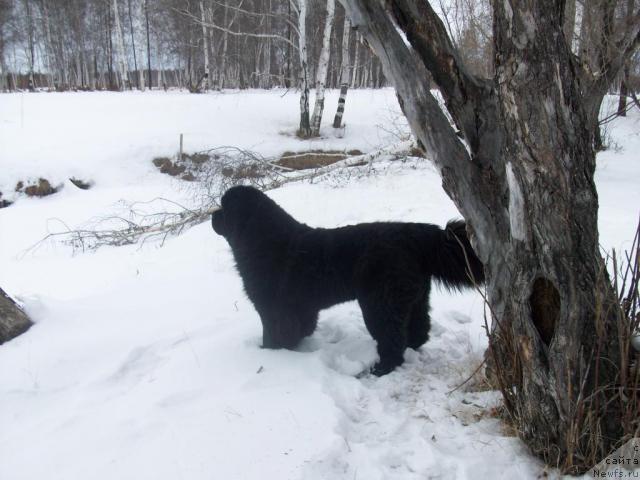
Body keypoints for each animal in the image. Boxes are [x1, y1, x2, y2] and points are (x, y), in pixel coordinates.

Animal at [212, 186, 482, 376]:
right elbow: (301, 327)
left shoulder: (273, 309)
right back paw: (411, 347)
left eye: (223, 207)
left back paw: (379, 369)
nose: (213, 214)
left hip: (380, 303)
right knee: (419, 328)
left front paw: (269, 354)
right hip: (415, 296)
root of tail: (414, 233)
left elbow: (274, 333)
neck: (261, 242)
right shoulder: (302, 308)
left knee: (392, 340)